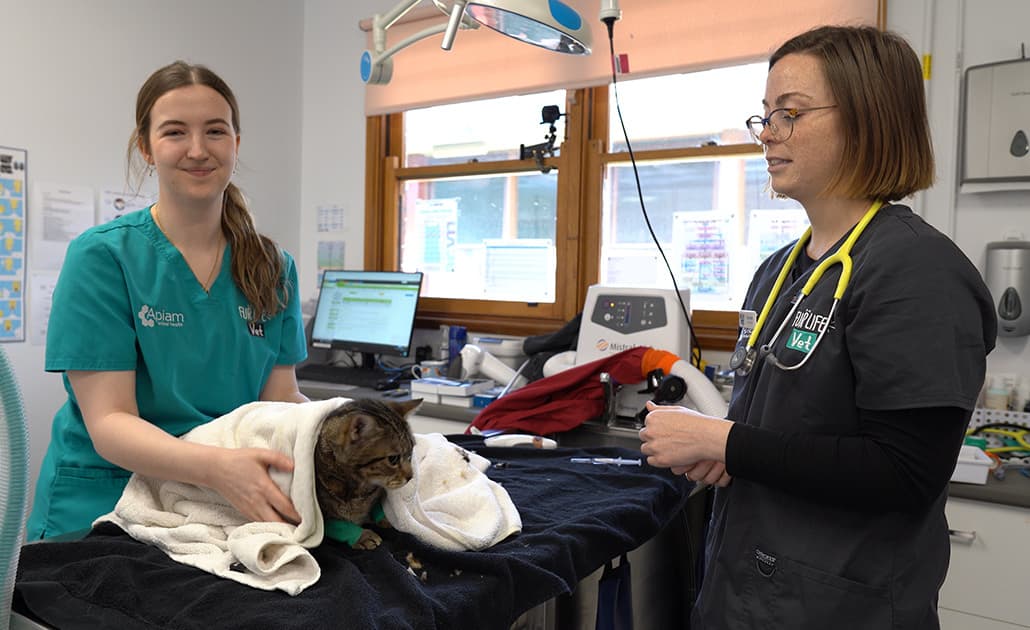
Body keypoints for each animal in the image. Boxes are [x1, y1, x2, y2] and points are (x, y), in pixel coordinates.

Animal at [317, 401, 422, 547]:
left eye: (410, 454)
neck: (361, 492)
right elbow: (340, 526)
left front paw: (388, 518)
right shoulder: (324, 518)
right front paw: (363, 536)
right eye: (393, 459)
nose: (411, 476)